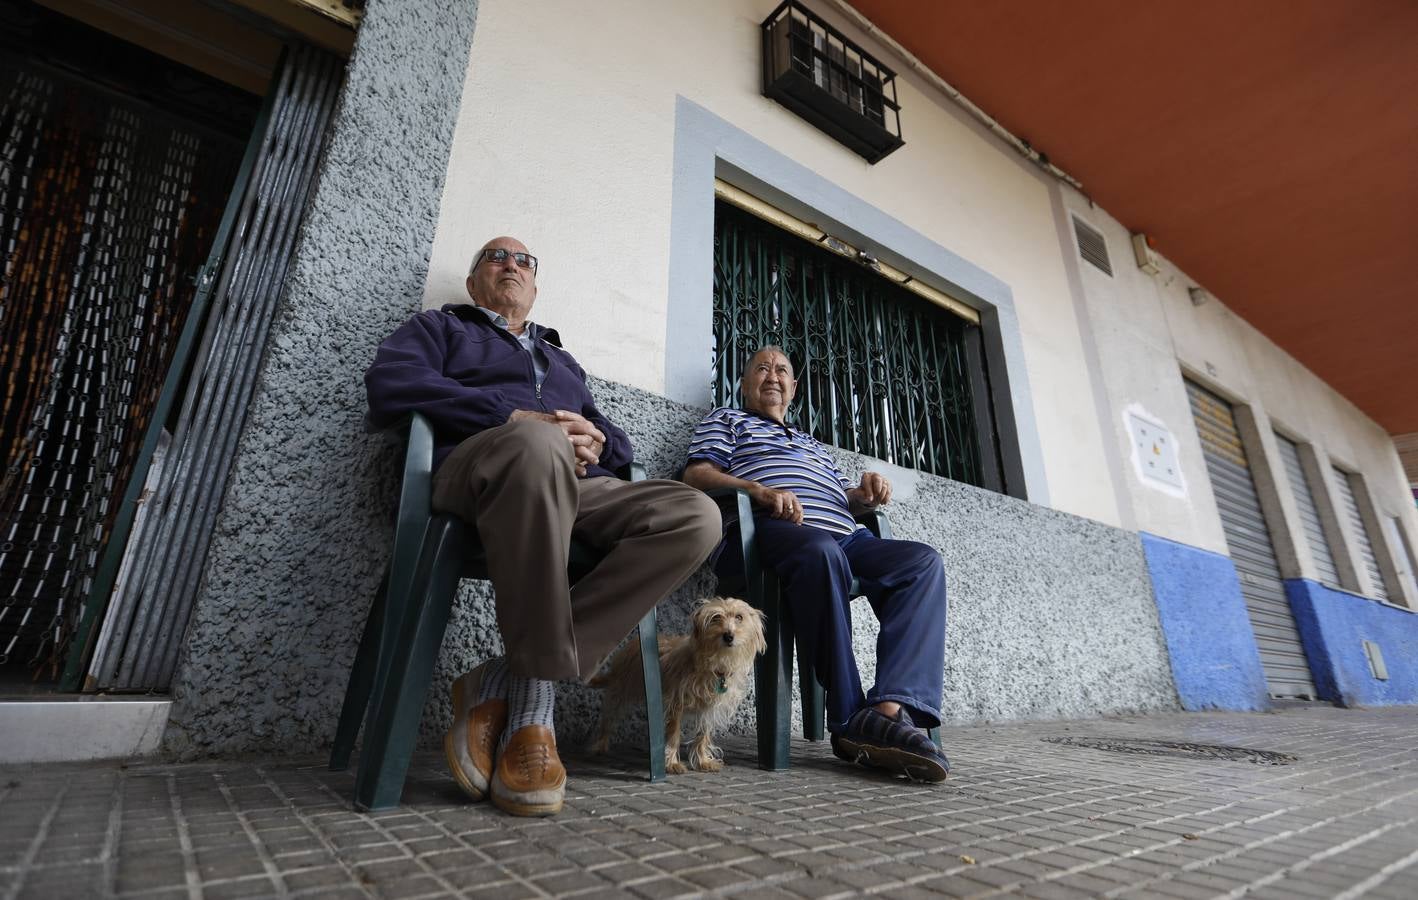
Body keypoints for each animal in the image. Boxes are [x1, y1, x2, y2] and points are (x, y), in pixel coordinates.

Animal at [587, 598, 765, 776]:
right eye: (715, 618)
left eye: (739, 617)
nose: (728, 636)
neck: (715, 665)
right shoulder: (676, 703)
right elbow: (674, 734)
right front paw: (672, 763)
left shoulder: (709, 708)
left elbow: (703, 735)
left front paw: (702, 761)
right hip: (620, 691)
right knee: (608, 718)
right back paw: (600, 744)